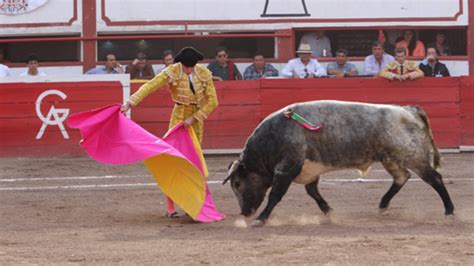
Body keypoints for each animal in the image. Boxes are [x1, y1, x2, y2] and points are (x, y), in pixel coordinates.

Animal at [224, 100, 454, 227]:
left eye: (237, 183)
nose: (245, 212)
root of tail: (409, 110)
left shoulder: (287, 169)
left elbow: (275, 195)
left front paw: (261, 219)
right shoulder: (309, 170)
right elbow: (313, 192)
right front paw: (329, 212)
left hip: (412, 155)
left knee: (434, 178)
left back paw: (449, 211)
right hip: (391, 158)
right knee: (402, 177)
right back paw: (382, 205)